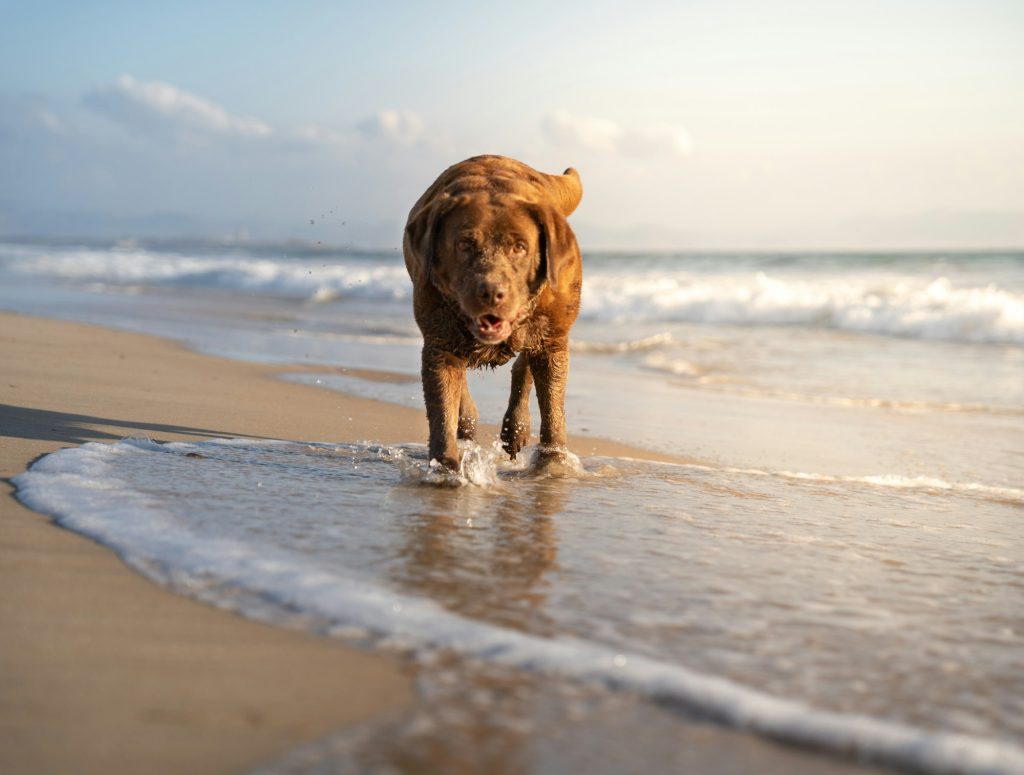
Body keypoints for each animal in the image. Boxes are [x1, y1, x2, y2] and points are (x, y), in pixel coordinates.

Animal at [405, 154, 585, 470]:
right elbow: (442, 410)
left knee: (524, 364)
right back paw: (468, 423)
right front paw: (446, 467)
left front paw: (553, 463)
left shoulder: (553, 341)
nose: (491, 291)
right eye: (464, 244)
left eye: (520, 247)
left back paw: (516, 427)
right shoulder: (439, 342)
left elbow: (553, 409)